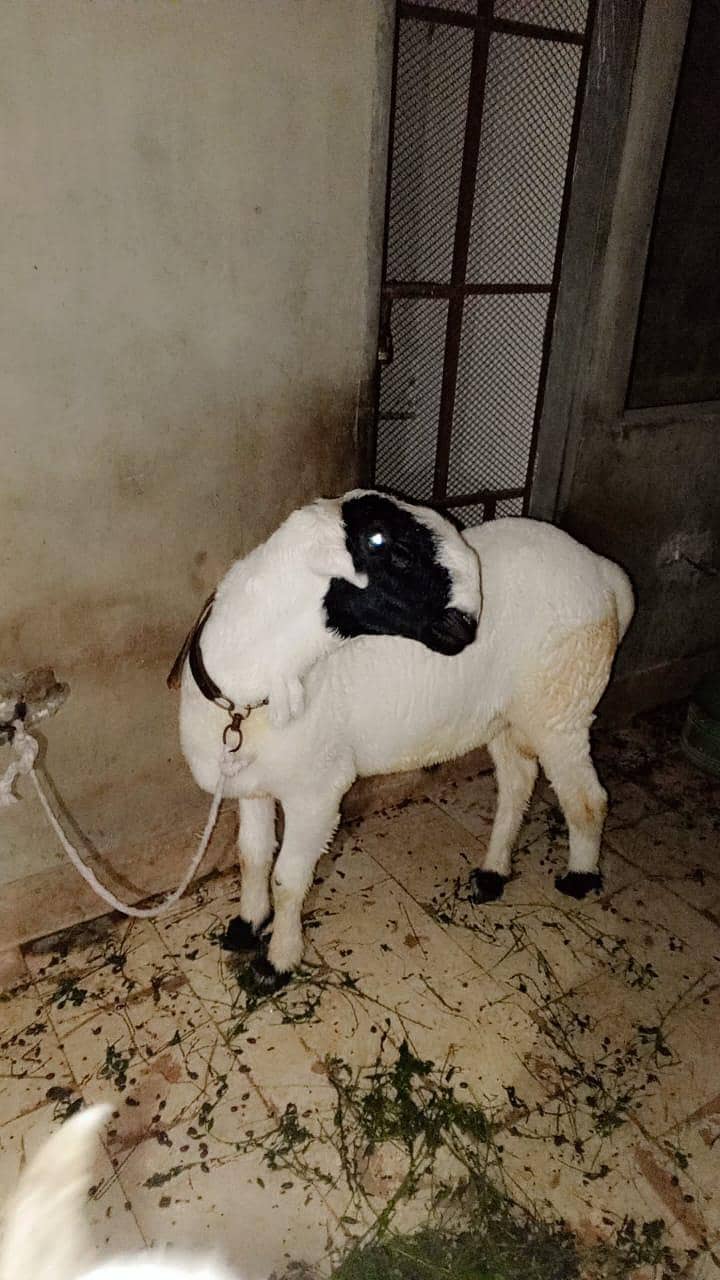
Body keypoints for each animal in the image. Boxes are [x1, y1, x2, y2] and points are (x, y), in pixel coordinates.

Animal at [176, 508, 634, 990]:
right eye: (390, 548)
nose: (467, 625)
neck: (246, 694)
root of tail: (603, 571)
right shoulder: (254, 784)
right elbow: (253, 857)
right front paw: (246, 926)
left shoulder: (315, 793)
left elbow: (287, 879)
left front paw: (276, 962)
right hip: (508, 717)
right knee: (517, 785)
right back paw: (492, 874)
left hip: (561, 708)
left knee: (587, 800)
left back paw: (580, 878)